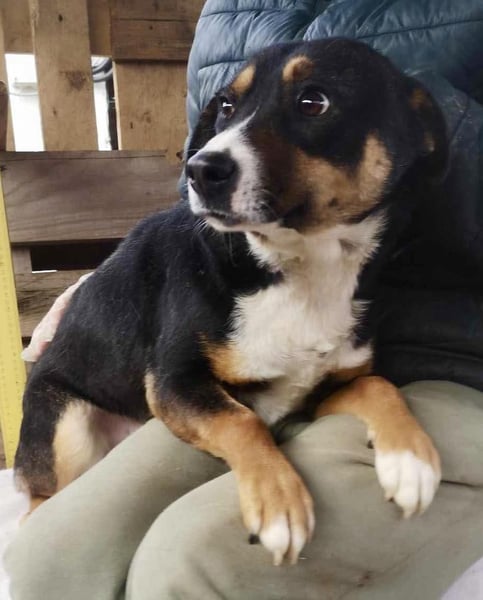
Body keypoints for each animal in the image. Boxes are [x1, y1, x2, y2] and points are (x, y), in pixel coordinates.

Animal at [15, 38, 446, 565]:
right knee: (37, 507)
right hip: (66, 427)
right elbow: (243, 421)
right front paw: (279, 503)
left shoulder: (319, 393)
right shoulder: (176, 382)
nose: (199, 170)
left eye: (314, 101)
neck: (300, 268)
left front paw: (410, 459)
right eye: (225, 107)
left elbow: (379, 385)